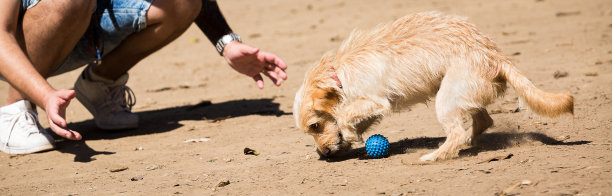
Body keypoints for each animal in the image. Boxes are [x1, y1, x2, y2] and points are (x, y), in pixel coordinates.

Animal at [292, 11, 572, 161]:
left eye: (315, 126)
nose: (323, 154)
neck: (339, 74)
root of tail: (496, 56)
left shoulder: (375, 100)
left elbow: (344, 114)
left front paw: (348, 134)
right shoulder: (375, 106)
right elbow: (353, 118)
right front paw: (349, 139)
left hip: (447, 98)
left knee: (458, 131)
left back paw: (435, 156)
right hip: (459, 93)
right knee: (482, 121)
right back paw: (466, 142)